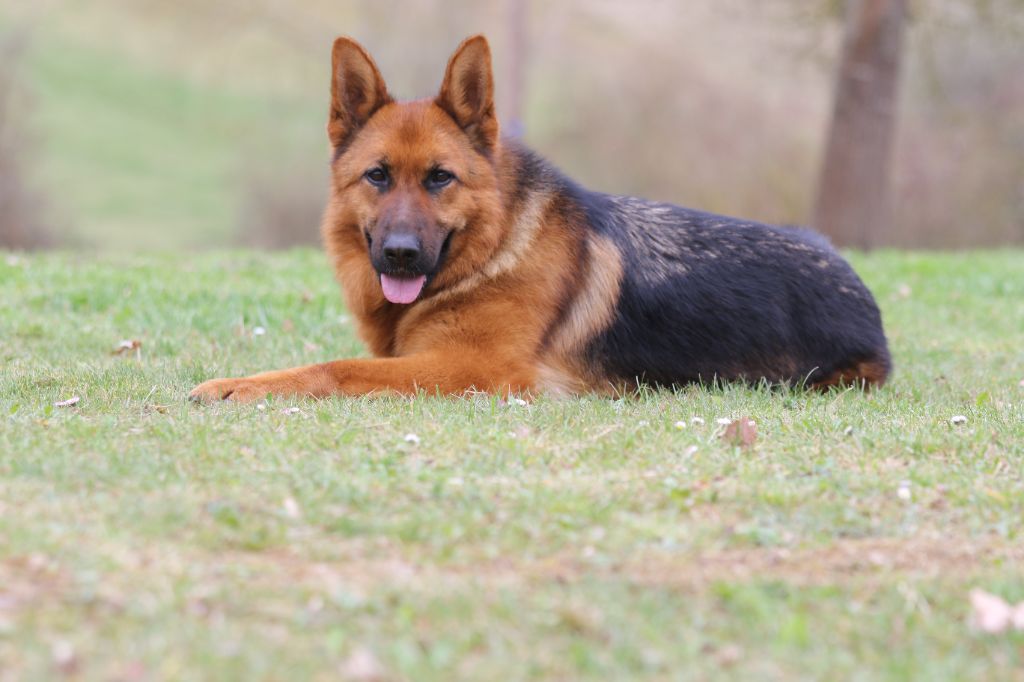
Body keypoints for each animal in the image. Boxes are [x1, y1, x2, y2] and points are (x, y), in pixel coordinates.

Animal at [190, 34, 888, 401]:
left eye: (440, 178)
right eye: (378, 176)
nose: (400, 254)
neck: (492, 252)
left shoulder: (474, 369)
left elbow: (335, 367)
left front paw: (233, 385)